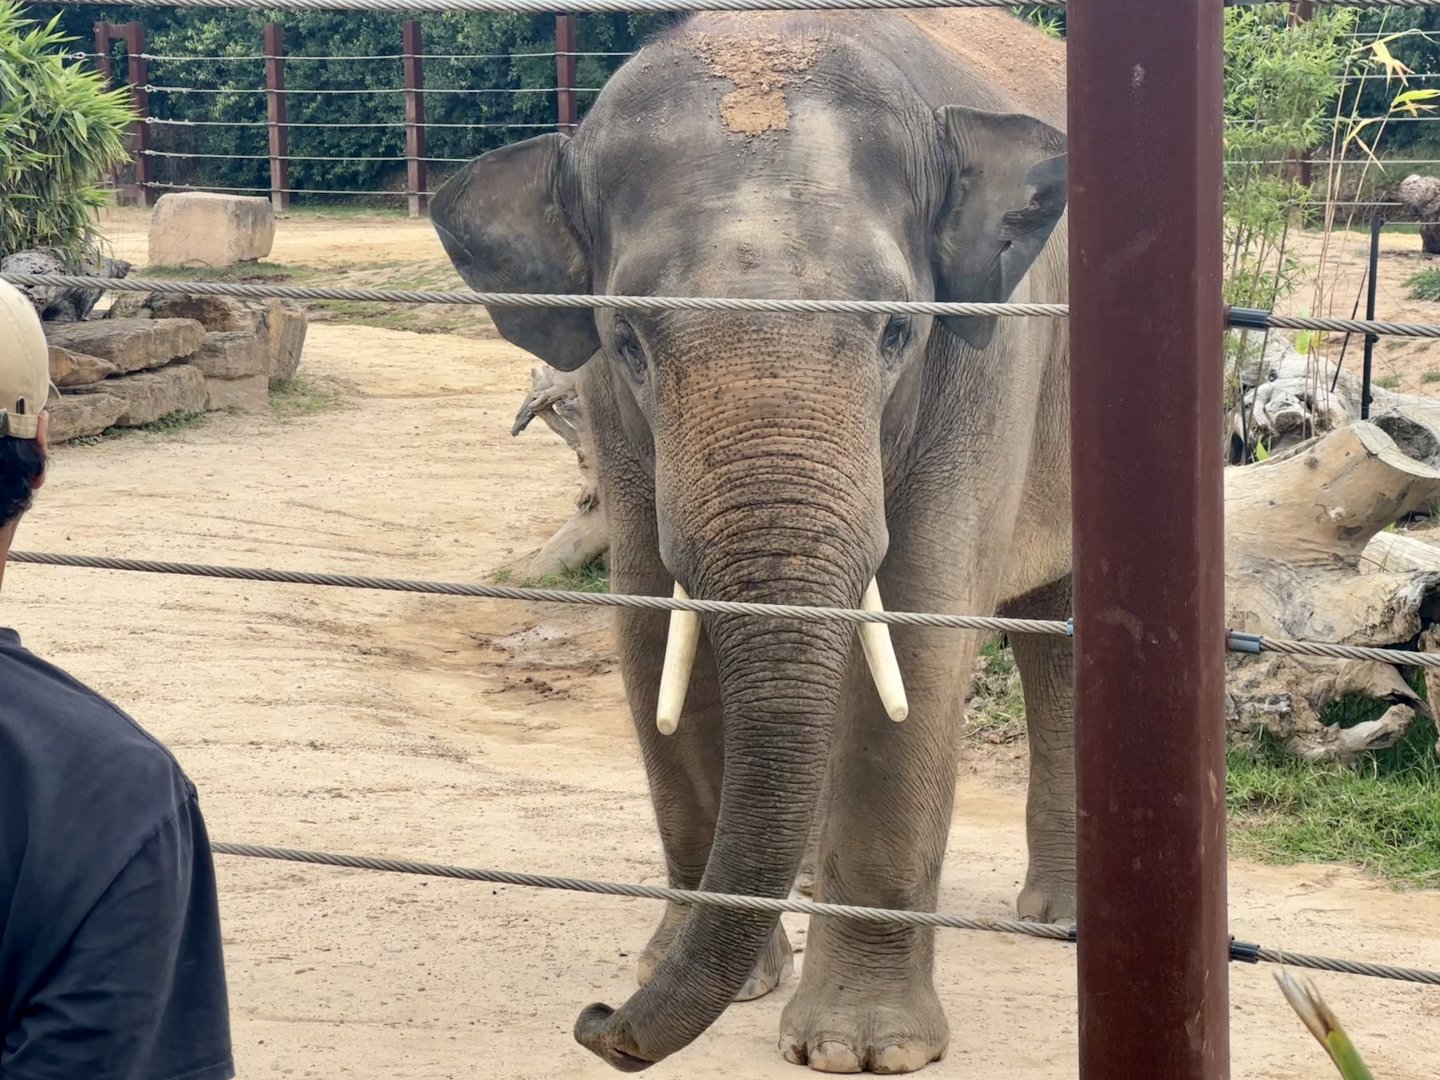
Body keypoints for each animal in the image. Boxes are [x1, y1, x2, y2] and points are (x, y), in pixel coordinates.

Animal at [431, 9, 1072, 1074]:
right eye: (631, 341)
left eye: (897, 332)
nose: (596, 1019)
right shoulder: (611, 409)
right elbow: (652, 632)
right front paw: (703, 976)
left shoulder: (987, 364)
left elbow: (922, 640)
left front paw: (859, 1048)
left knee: (1055, 634)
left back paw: (1057, 920)